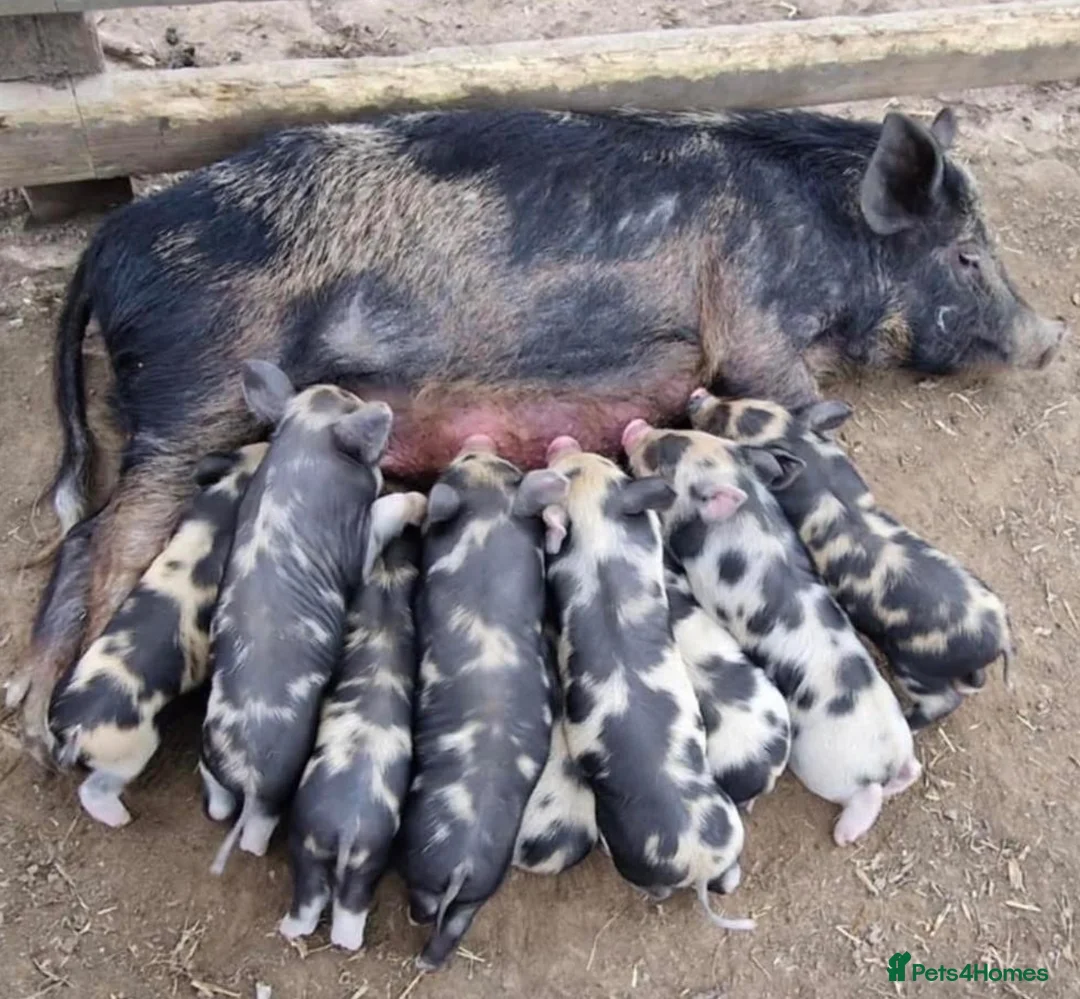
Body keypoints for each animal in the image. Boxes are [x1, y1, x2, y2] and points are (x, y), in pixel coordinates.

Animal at [47, 443, 266, 828]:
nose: (267, 442)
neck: (226, 501)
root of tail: (72, 734)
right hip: (132, 749)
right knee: (96, 789)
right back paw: (120, 818)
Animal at [200, 360, 420, 874]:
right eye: (352, 402)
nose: (381, 406)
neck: (303, 445)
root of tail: (246, 768)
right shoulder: (356, 542)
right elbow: (383, 514)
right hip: (281, 777)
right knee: (255, 832)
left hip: (209, 752)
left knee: (216, 797)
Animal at [399, 435, 569, 970]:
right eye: (509, 469)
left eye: (456, 467)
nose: (478, 440)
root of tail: (463, 863)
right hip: (482, 887)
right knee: (453, 926)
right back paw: (428, 963)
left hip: (425, 868)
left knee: (426, 907)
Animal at [540, 436, 753, 928]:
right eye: (605, 464)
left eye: (577, 468)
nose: (562, 442)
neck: (598, 539)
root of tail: (695, 864)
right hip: (730, 830)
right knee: (731, 878)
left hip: (629, 853)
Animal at [686, 391, 1014, 729]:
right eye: (736, 400)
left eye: (721, 424)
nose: (697, 395)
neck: (799, 442)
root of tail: (1001, 635)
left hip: (915, 667)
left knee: (943, 700)